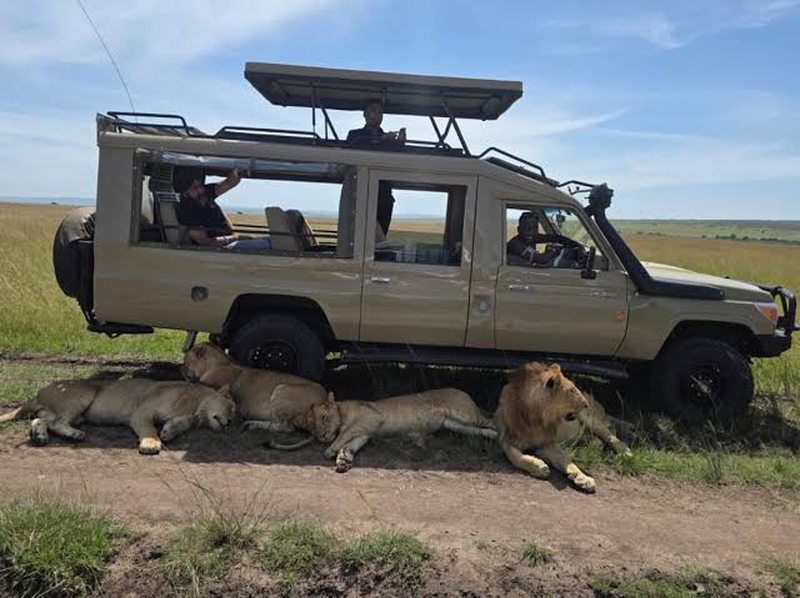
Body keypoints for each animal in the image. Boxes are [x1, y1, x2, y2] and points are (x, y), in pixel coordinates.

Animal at [0, 378, 235, 454]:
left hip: (76, 414)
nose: (230, 423)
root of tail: (39, 393)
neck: (196, 405)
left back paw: (45, 436)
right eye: (231, 407)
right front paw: (151, 443)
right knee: (56, 421)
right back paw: (73, 435)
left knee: (41, 420)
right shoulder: (141, 412)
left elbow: (179, 424)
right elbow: (149, 428)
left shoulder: (187, 416)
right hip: (82, 394)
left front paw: (168, 432)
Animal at [182, 342, 326, 432]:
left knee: (287, 427)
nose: (180, 368)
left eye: (185, 360)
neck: (221, 362)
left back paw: (251, 424)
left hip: (281, 389)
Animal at [271, 388, 497, 472]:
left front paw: (330, 450)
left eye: (324, 418)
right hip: (457, 425)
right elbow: (349, 445)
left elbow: (345, 434)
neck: (342, 412)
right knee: (481, 430)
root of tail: (464, 392)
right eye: (314, 429)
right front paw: (343, 460)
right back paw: (493, 437)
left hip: (465, 414)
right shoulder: (365, 432)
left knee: (492, 420)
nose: (323, 436)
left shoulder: (371, 418)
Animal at [494, 362, 631, 493]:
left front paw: (583, 478)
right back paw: (593, 443)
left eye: (575, 388)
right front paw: (538, 467)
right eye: (572, 390)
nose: (586, 404)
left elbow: (566, 459)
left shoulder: (547, 443)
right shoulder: (506, 439)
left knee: (610, 435)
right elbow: (515, 457)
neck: (536, 418)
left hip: (591, 419)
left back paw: (625, 452)